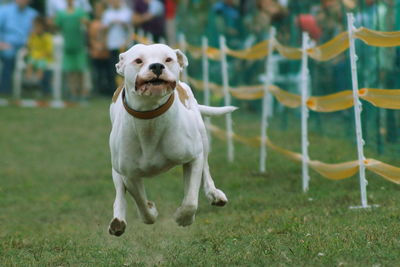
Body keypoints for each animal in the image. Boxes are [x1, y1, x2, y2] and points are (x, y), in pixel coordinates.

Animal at [108, 43, 236, 237]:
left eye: (168, 59)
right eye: (138, 60)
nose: (157, 66)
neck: (150, 117)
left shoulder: (193, 158)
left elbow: (191, 199)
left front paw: (183, 218)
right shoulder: (129, 173)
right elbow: (140, 201)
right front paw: (150, 211)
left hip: (202, 136)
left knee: (206, 169)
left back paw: (214, 194)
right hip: (116, 167)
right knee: (120, 192)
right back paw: (118, 221)